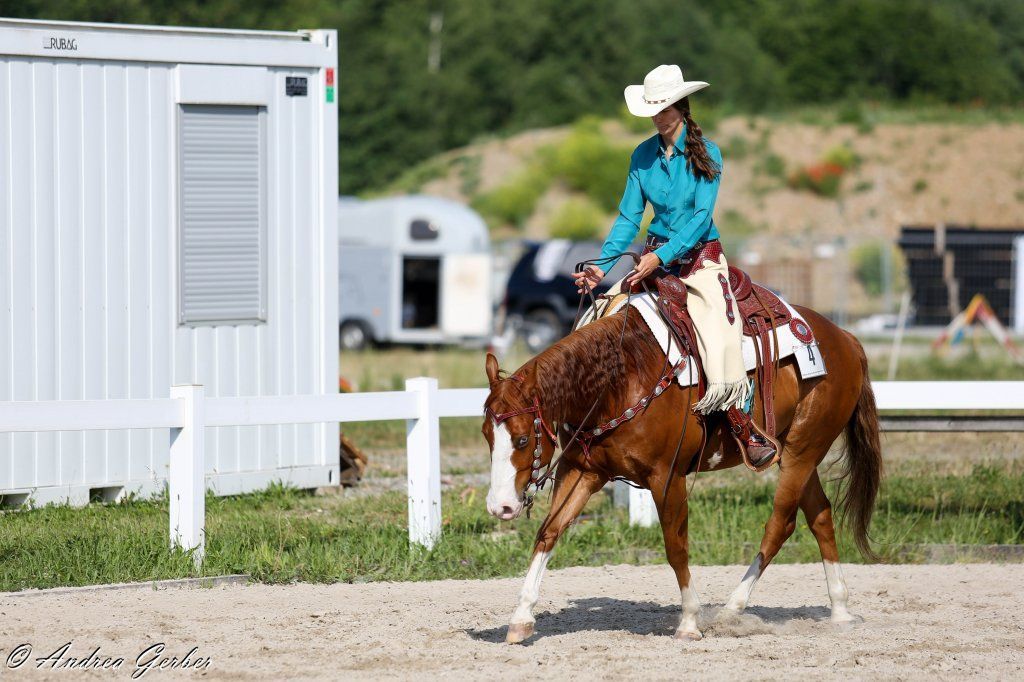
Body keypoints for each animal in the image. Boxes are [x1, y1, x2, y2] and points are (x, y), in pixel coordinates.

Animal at [481, 303, 882, 643]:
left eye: (521, 439)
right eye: (487, 434)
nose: (499, 507)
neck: (619, 381)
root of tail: (845, 339)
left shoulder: (666, 477)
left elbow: (676, 548)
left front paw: (689, 621)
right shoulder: (582, 470)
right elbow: (548, 533)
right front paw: (521, 617)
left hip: (802, 452)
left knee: (780, 524)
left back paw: (730, 611)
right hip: (800, 454)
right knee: (821, 516)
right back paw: (840, 610)